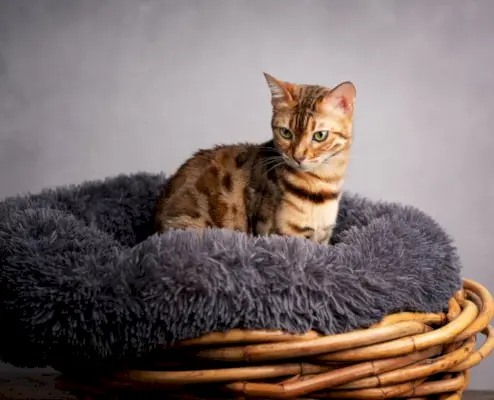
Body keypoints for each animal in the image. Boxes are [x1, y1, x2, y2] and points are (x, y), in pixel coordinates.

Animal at [154, 72, 356, 244]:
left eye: (320, 135)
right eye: (286, 133)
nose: (298, 157)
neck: (321, 186)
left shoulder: (323, 238)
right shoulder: (282, 235)